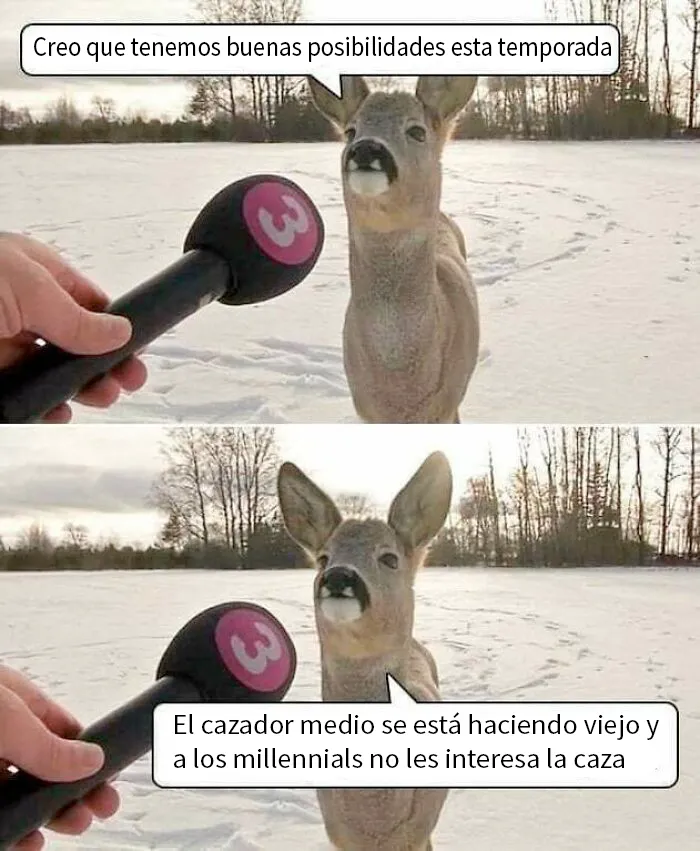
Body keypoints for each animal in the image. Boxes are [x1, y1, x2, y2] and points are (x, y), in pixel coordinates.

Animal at [277, 451, 453, 851]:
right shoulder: (338, 835)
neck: (376, 822)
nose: (339, 577)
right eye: (323, 558)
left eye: (389, 558)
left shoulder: (418, 832)